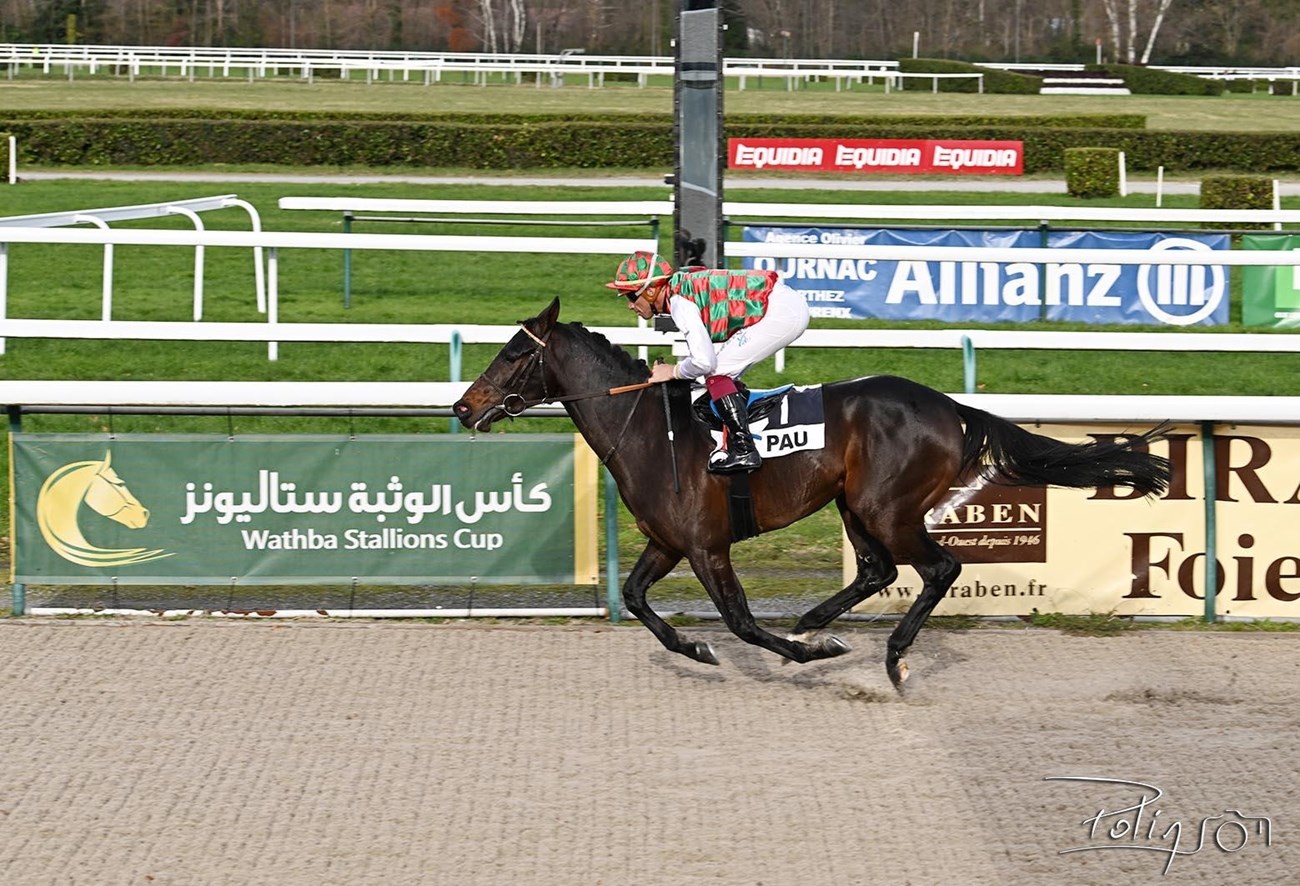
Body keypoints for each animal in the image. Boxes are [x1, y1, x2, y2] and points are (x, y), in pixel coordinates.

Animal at [452, 300, 1175, 685]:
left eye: (514, 353)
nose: (462, 407)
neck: (652, 433)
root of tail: (951, 406)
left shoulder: (707, 546)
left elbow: (742, 622)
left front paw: (803, 653)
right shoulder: (668, 542)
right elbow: (634, 600)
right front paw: (701, 648)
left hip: (889, 508)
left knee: (939, 567)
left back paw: (890, 654)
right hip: (854, 502)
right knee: (879, 570)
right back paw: (815, 620)